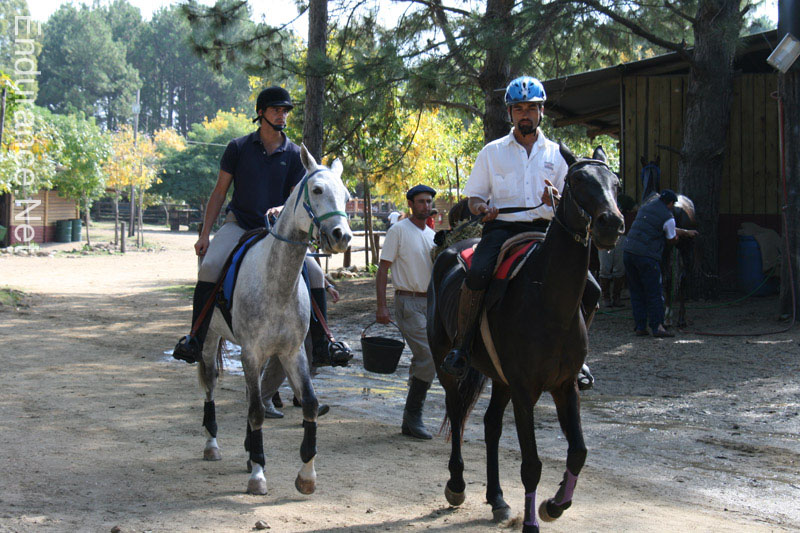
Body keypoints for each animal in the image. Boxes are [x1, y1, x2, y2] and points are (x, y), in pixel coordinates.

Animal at [196, 145, 350, 494]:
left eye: (347, 196)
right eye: (317, 190)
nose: (342, 236)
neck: (277, 283)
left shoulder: (292, 352)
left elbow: (309, 403)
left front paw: (306, 476)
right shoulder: (251, 352)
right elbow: (255, 412)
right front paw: (258, 474)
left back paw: (248, 452)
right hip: (210, 338)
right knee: (210, 383)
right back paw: (212, 445)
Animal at [428, 143, 620, 528]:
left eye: (616, 183)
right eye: (579, 180)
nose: (611, 222)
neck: (548, 301)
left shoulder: (564, 386)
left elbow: (578, 452)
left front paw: (554, 505)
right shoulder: (524, 390)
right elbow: (531, 464)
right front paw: (533, 521)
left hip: (500, 379)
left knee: (490, 425)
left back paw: (497, 499)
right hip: (446, 361)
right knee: (456, 412)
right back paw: (456, 485)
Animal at [640, 156, 696, 326]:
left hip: (666, 252)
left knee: (668, 279)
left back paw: (667, 316)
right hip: (687, 248)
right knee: (683, 278)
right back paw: (681, 318)